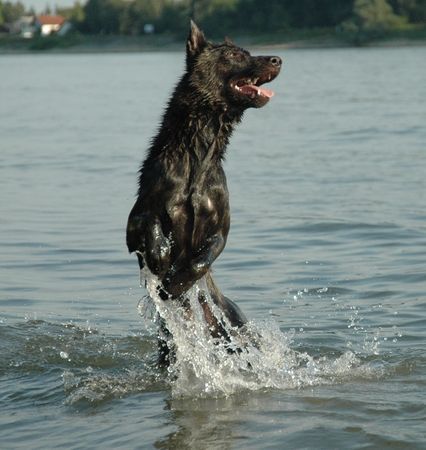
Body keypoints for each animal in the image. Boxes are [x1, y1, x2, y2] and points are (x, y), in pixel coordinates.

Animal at [125, 22, 282, 366]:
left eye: (247, 51)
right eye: (236, 55)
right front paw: (161, 256)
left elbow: (206, 255)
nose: (277, 59)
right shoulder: (139, 213)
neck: (197, 152)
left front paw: (176, 282)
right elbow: (148, 224)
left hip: (235, 326)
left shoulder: (218, 221)